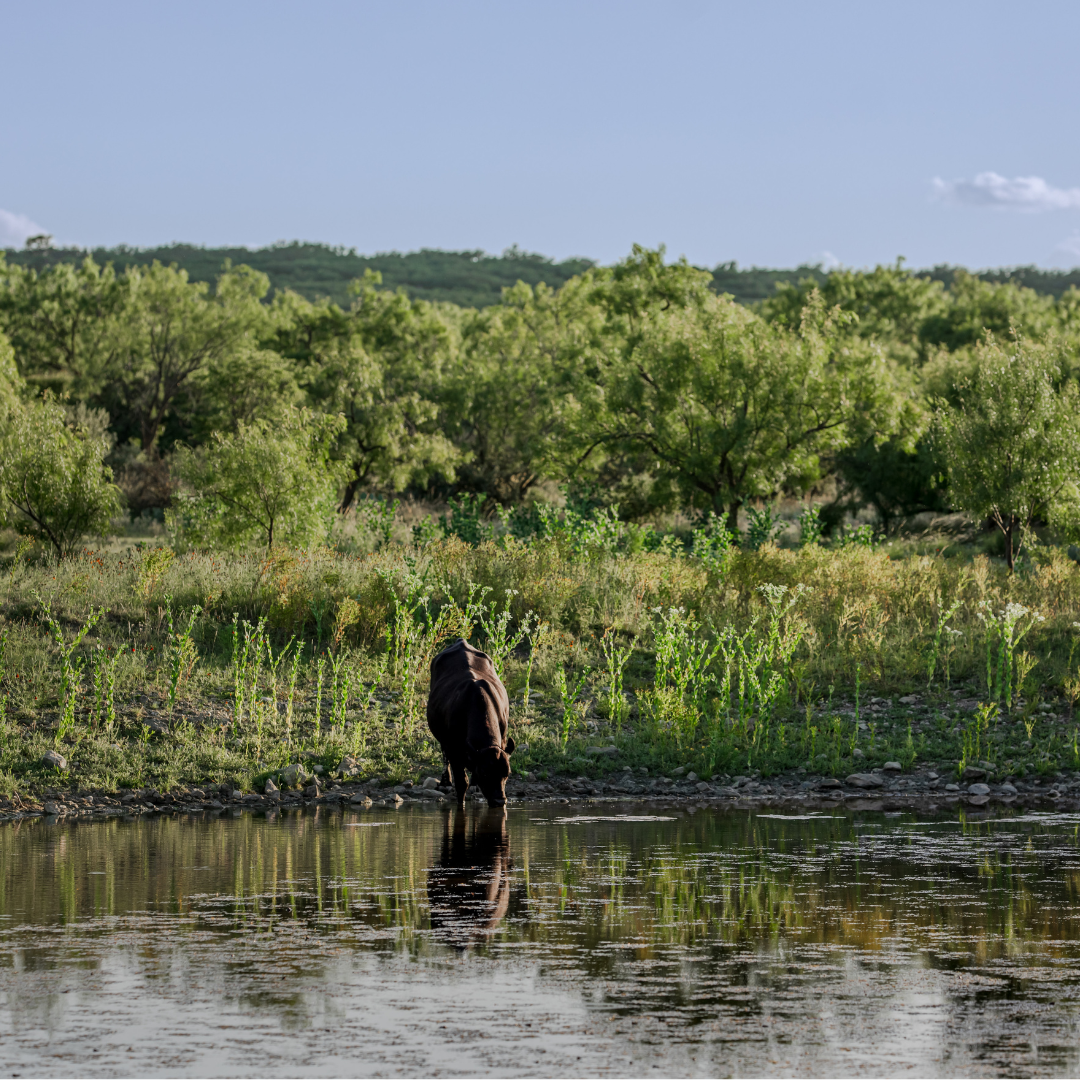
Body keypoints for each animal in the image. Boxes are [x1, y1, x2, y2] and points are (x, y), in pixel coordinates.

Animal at [427, 638, 516, 806]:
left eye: (507, 774)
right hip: (444, 740)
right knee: (444, 754)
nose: (500, 801)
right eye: (485, 773)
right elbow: (462, 783)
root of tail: (461, 641)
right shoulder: (454, 750)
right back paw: (445, 781)